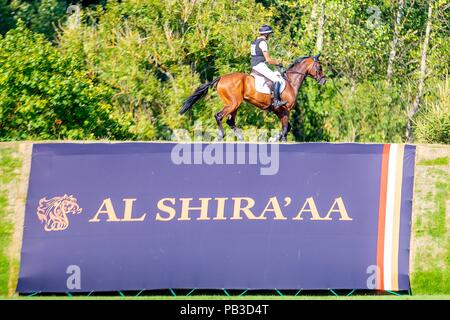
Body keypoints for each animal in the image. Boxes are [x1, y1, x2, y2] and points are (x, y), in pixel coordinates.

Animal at [180, 53, 326, 141]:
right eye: (319, 67)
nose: (324, 80)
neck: (290, 81)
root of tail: (221, 78)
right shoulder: (284, 110)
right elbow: (285, 128)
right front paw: (278, 139)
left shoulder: (279, 111)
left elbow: (287, 128)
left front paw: (274, 139)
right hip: (233, 103)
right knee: (219, 116)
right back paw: (222, 136)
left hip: (235, 105)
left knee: (230, 121)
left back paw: (240, 138)